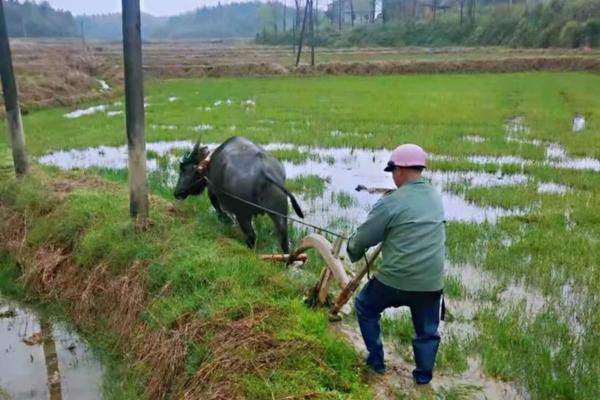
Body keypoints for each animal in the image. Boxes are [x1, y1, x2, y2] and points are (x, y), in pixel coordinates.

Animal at [173, 136, 304, 252]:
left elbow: (215, 204)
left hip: (243, 214)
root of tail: (263, 171)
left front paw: (225, 219)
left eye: (184, 169)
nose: (176, 193)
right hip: (279, 213)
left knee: (251, 235)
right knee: (283, 239)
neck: (209, 164)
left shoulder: (212, 189)